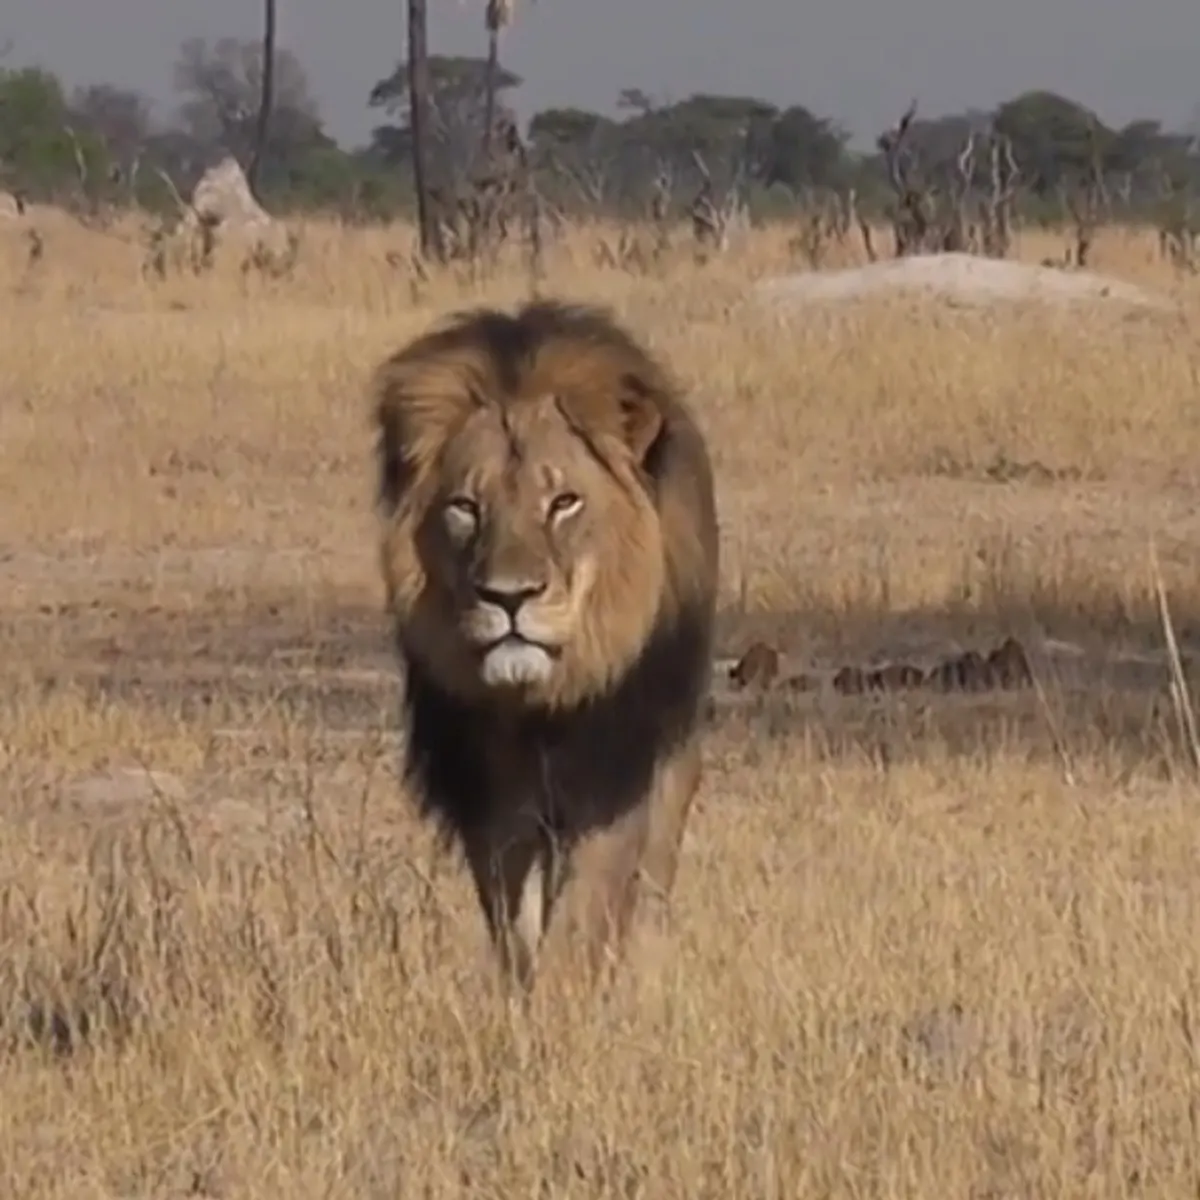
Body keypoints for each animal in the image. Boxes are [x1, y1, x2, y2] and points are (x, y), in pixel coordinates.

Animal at [372, 299, 720, 991]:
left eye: (563, 502)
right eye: (465, 507)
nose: (509, 598)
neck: (539, 705)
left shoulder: (614, 777)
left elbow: (586, 913)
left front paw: (570, 994)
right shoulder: (491, 795)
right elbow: (517, 921)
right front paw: (524, 994)